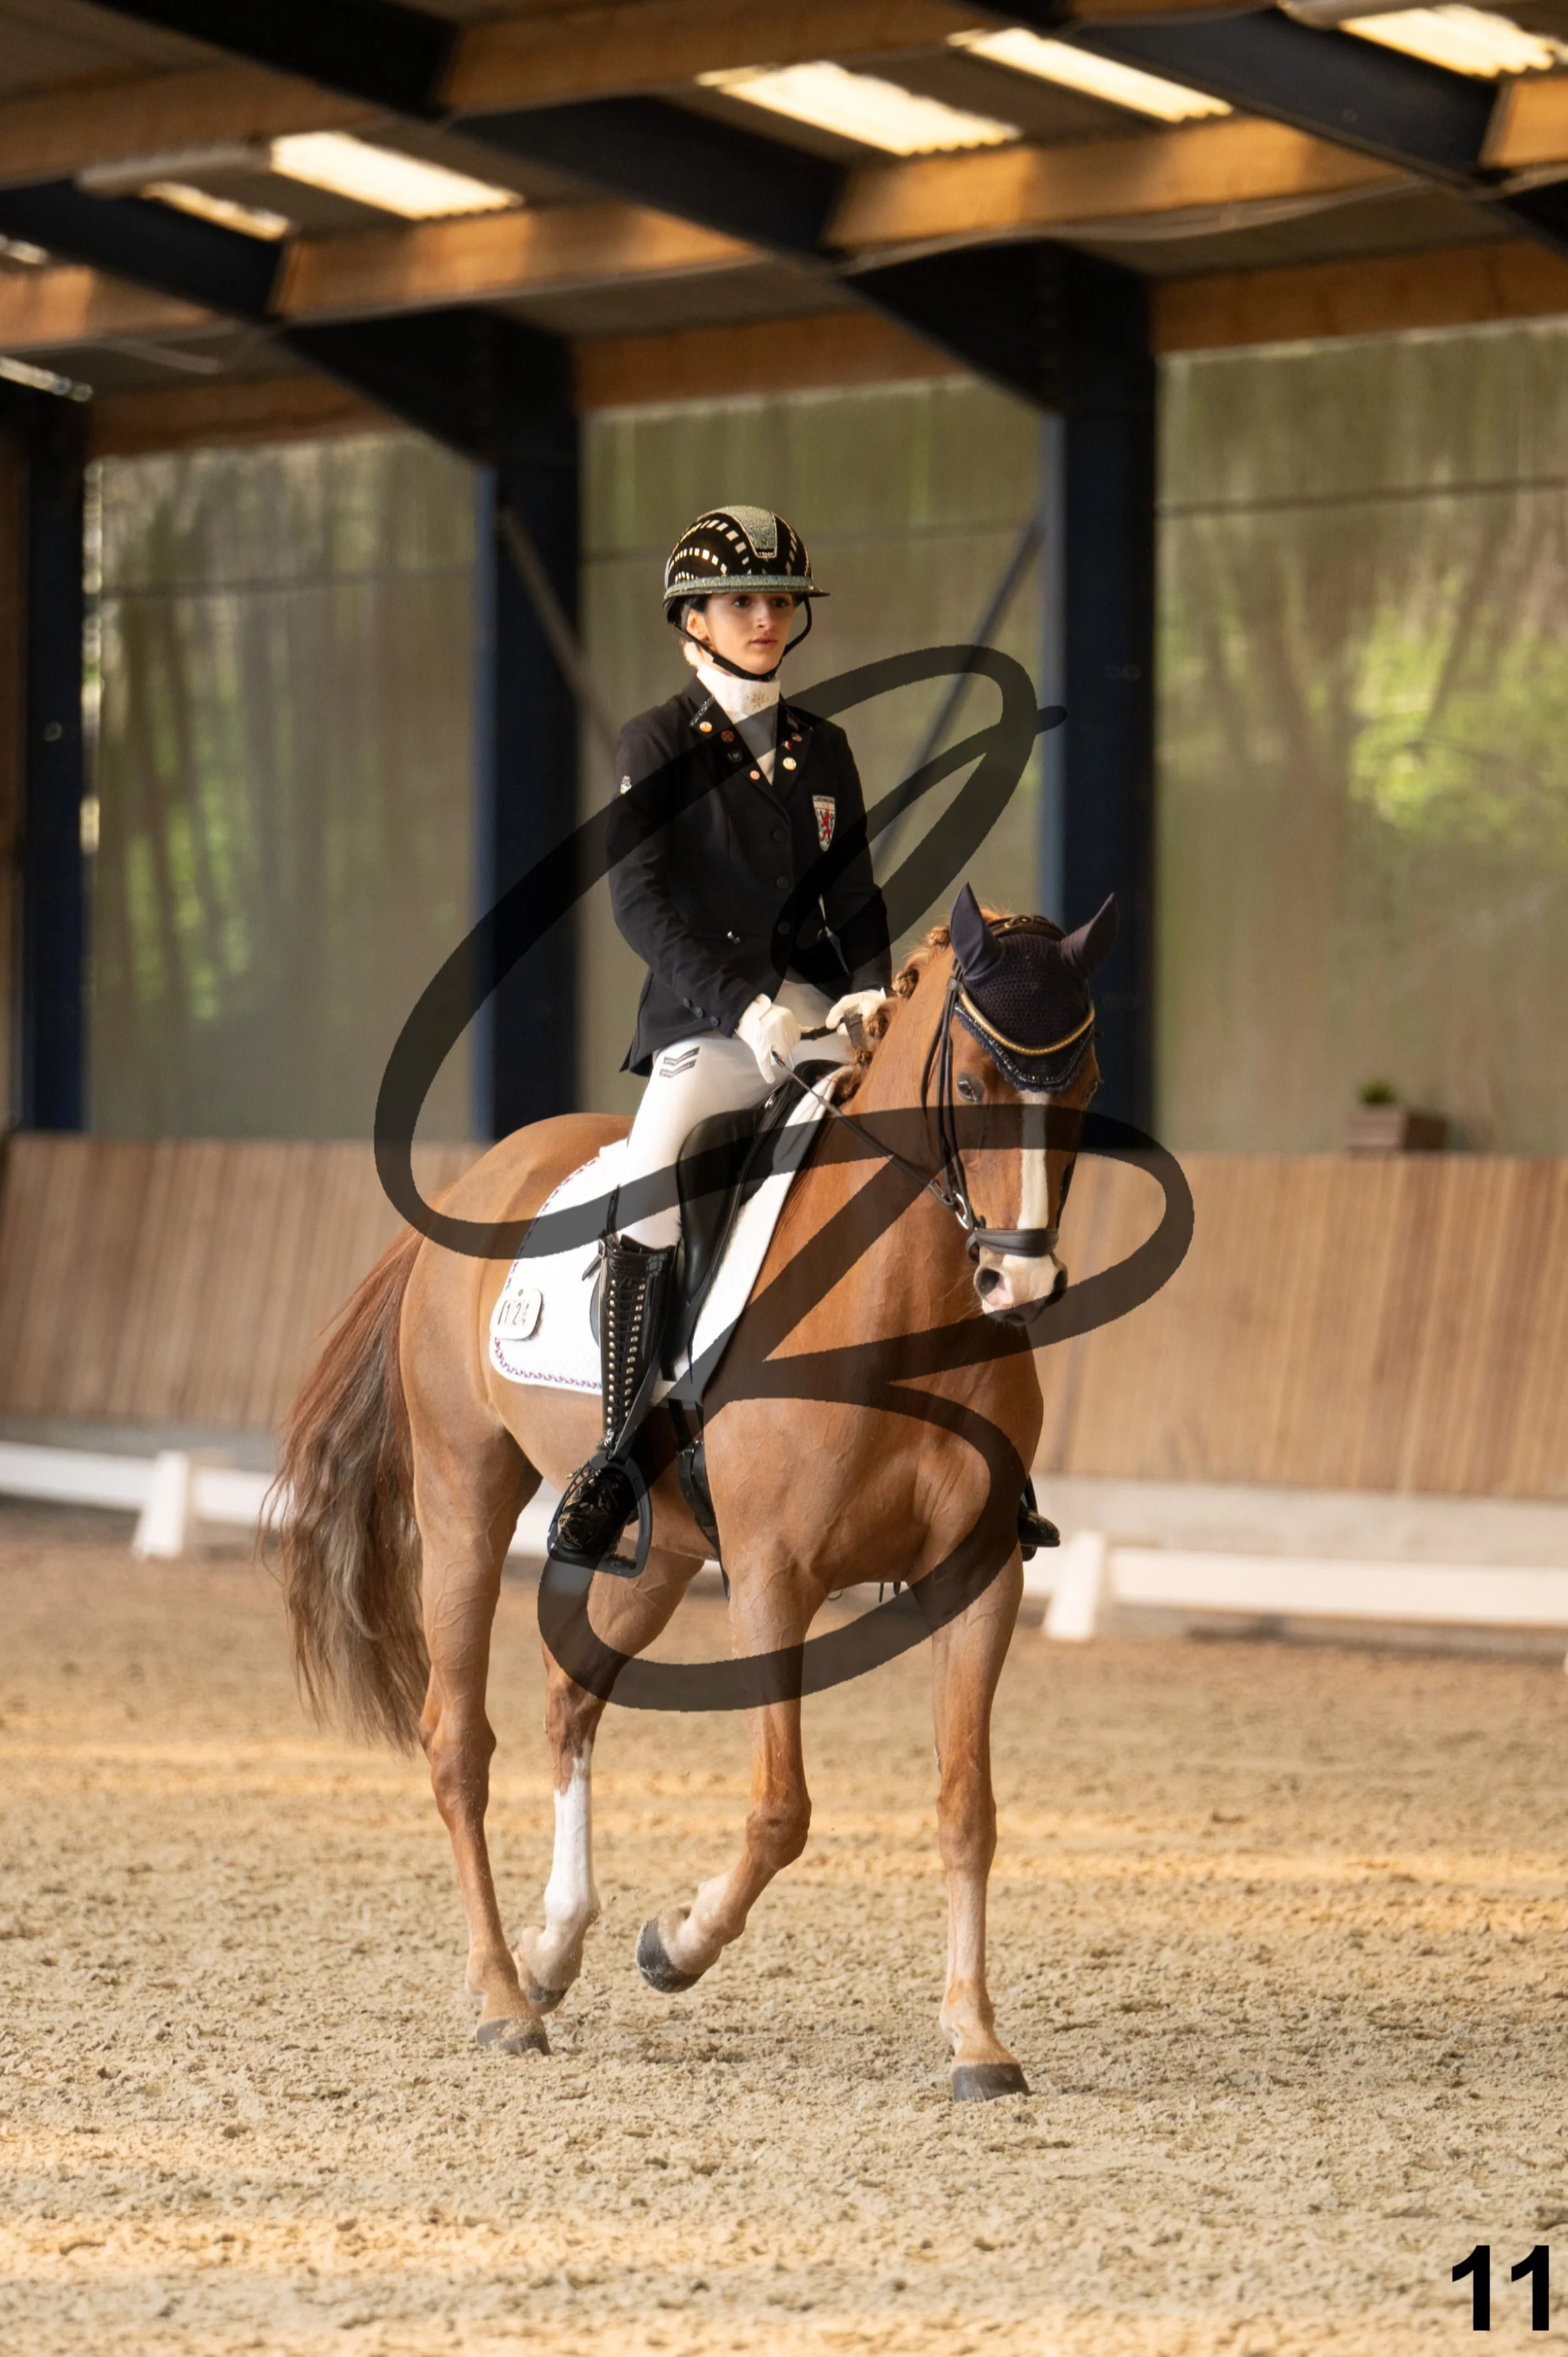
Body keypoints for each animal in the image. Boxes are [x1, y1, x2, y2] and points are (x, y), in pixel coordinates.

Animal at [277, 893, 1112, 2101]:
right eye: (970, 1086)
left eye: (1084, 1078)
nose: (1021, 1282)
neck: (901, 1304)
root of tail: (481, 1182)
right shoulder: (773, 1575)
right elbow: (782, 1807)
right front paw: (675, 1944)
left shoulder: (980, 1574)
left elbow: (967, 1806)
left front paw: (976, 2036)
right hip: (463, 1500)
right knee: (456, 1740)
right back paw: (502, 1997)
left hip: (661, 1554)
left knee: (570, 1696)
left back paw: (550, 1950)